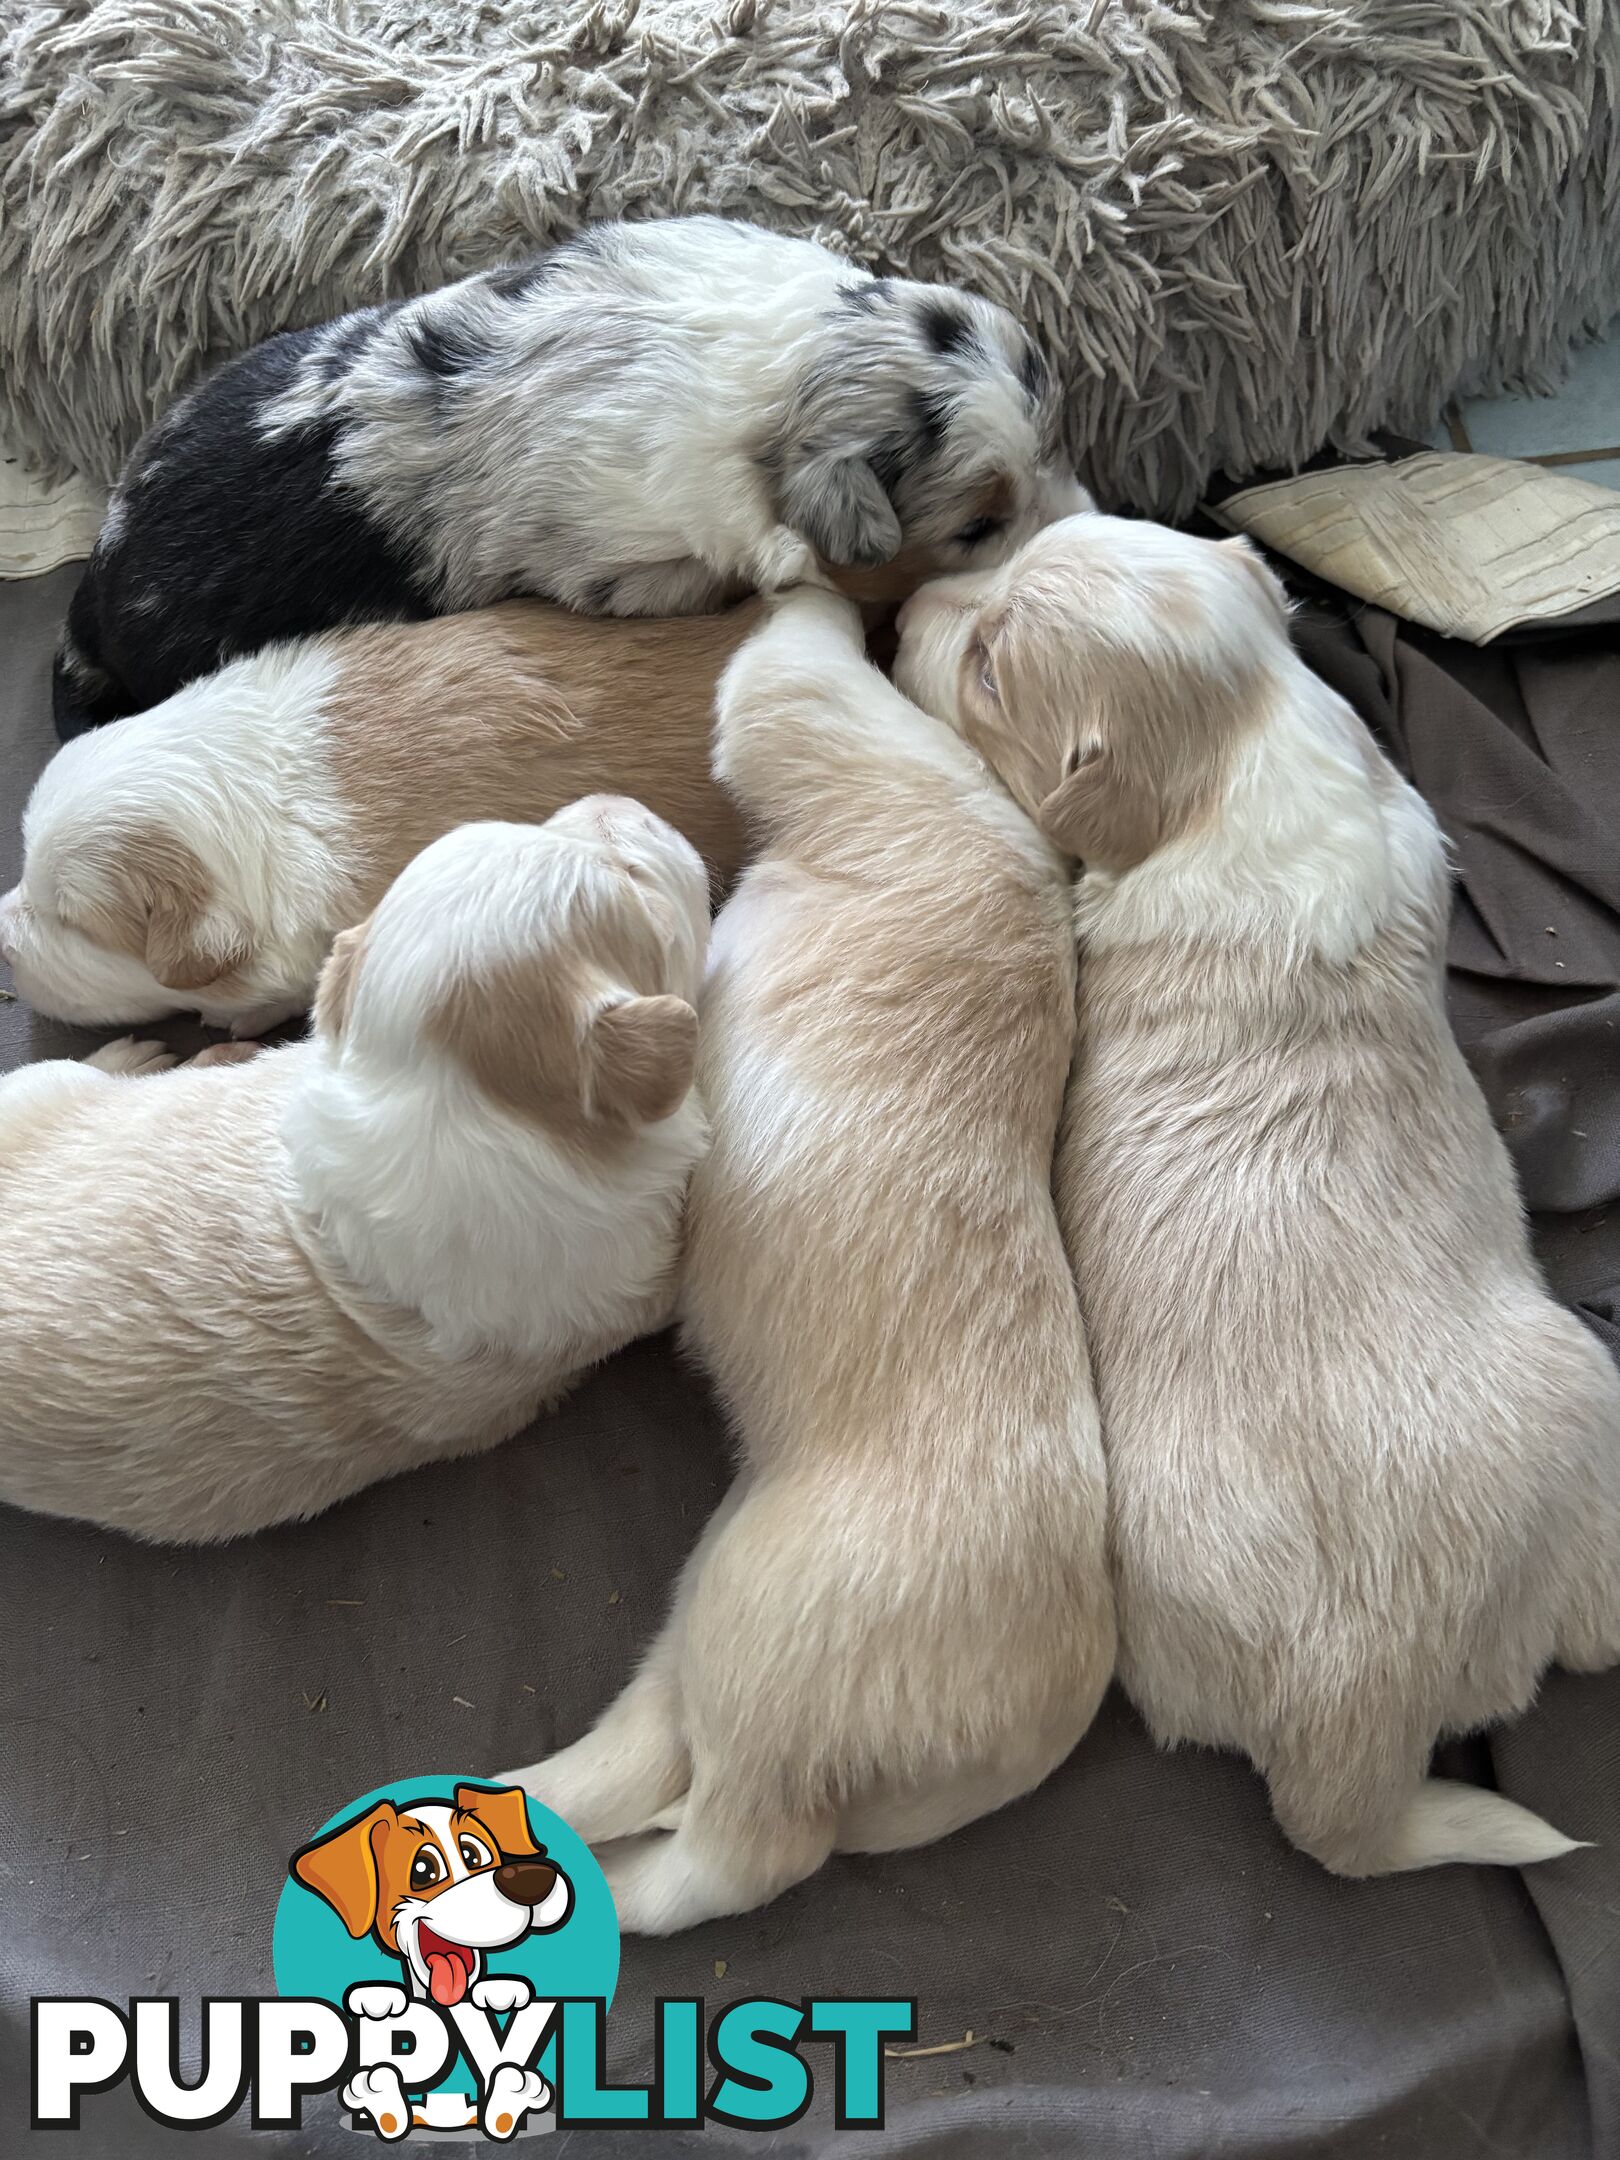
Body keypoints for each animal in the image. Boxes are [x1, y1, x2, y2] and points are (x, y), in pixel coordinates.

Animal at [57, 218, 1084, 738]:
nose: (1086, 521)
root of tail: (92, 598)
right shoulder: (636, 563)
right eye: (975, 529)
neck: (795, 364)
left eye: (1055, 445)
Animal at [507, 596, 1114, 1944]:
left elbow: (791, 653)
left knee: (736, 1850)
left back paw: (603, 1882)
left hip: (772, 1632)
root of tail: (1035, 1729)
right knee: (650, 1759)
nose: (923, 605)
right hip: (713, 1600)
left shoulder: (830, 724)